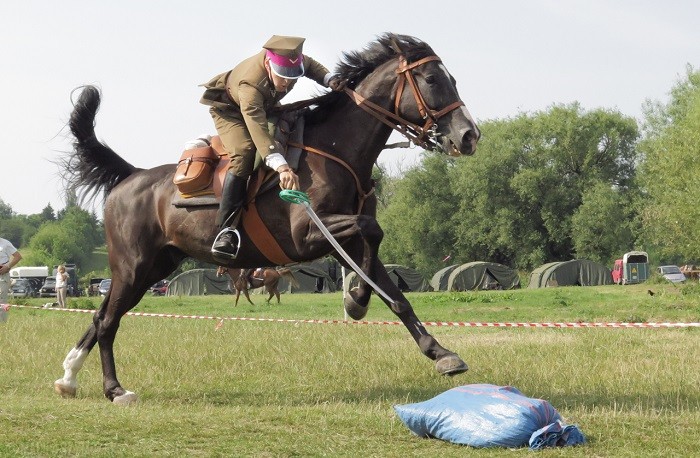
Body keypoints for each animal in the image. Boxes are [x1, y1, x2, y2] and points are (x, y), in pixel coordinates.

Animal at [53, 33, 482, 404]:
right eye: (431, 79)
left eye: (452, 79)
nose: (469, 136)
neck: (336, 152)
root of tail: (131, 176)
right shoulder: (308, 235)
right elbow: (371, 231)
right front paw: (356, 301)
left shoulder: (345, 239)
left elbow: (394, 293)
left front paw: (439, 351)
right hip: (133, 267)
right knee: (108, 321)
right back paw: (114, 389)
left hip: (153, 268)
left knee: (101, 315)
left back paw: (69, 376)